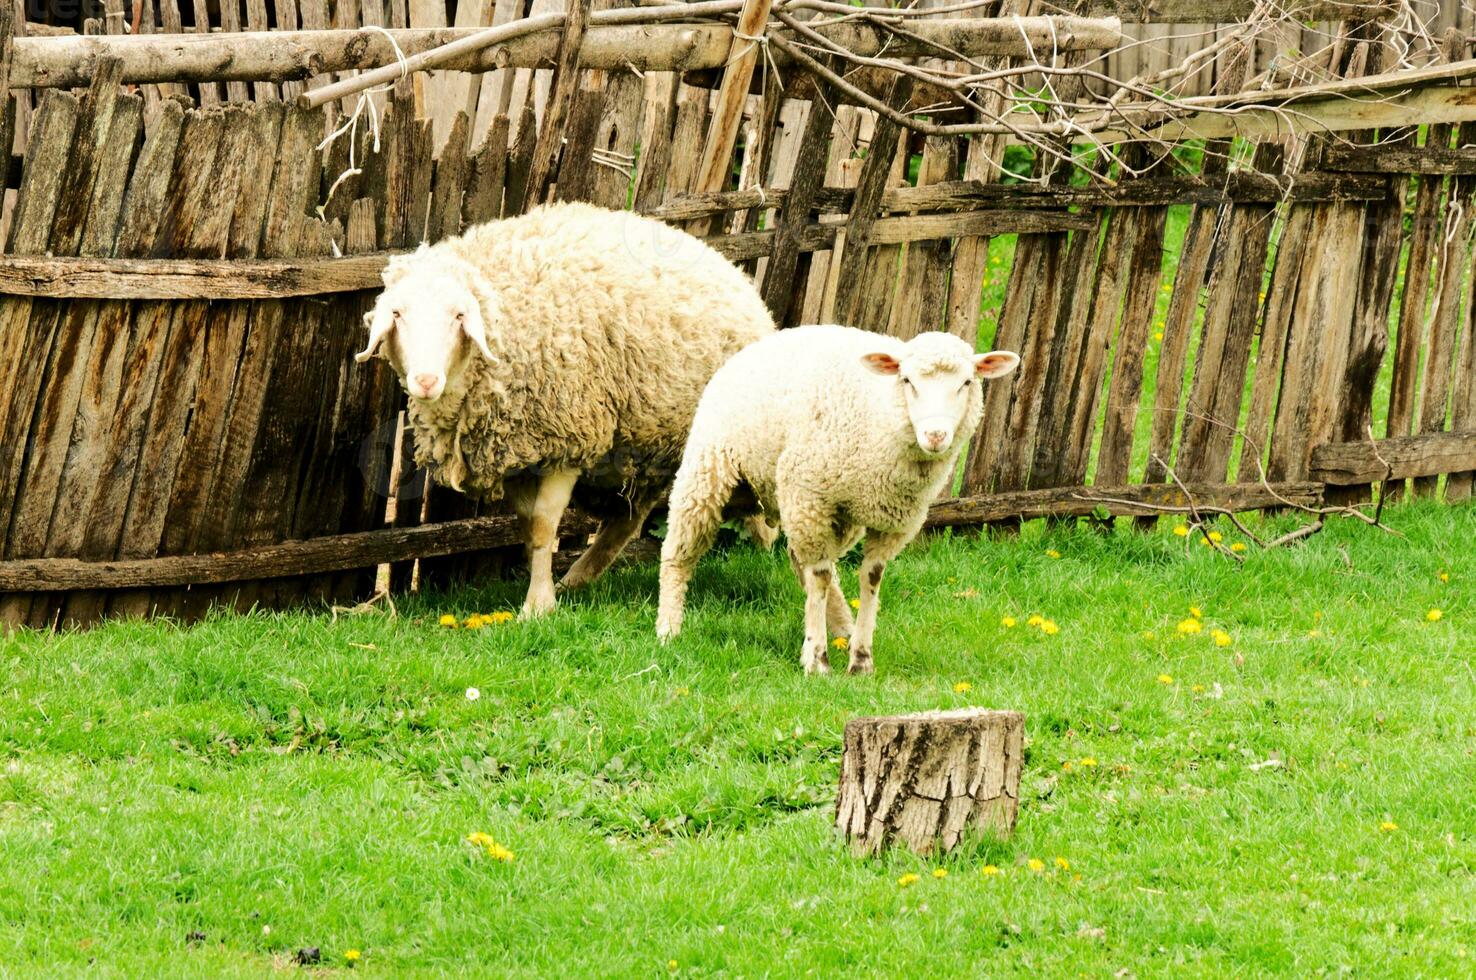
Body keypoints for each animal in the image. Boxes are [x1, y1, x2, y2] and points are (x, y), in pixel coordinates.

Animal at [355, 202, 779, 616]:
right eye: (397, 314)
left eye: (459, 315)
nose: (426, 380)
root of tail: (738, 278)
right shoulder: (518, 454)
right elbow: (529, 527)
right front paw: (543, 586)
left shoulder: (571, 439)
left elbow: (545, 525)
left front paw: (537, 606)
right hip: (646, 447)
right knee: (630, 518)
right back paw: (578, 578)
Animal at [655, 327, 1015, 673]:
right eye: (907, 380)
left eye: (966, 382)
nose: (936, 436)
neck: (880, 413)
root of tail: (769, 336)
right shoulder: (810, 496)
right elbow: (820, 577)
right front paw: (817, 659)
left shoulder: (893, 520)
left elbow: (871, 578)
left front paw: (861, 658)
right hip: (710, 470)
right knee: (678, 553)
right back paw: (669, 627)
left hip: (836, 513)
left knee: (802, 559)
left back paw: (844, 627)